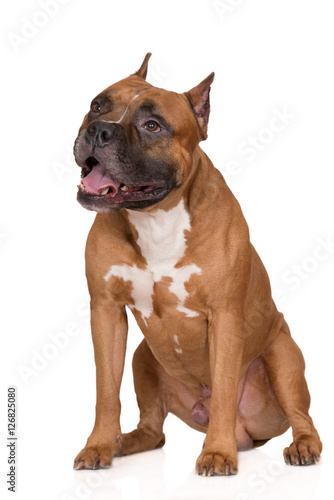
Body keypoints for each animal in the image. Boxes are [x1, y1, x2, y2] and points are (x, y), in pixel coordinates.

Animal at [72, 54, 320, 476]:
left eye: (153, 126)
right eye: (97, 105)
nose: (99, 130)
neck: (156, 217)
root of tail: (248, 435)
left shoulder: (224, 317)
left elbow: (223, 389)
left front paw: (217, 453)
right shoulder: (105, 312)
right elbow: (106, 391)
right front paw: (98, 445)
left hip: (283, 356)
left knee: (302, 416)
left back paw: (302, 446)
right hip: (143, 357)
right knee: (154, 430)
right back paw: (125, 442)